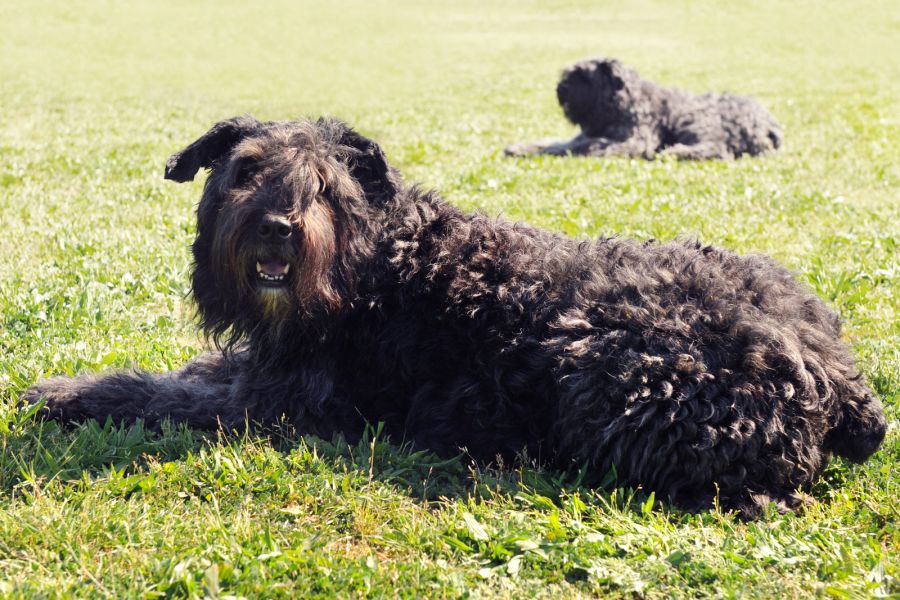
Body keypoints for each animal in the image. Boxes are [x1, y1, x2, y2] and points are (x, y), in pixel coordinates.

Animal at [22, 116, 884, 516]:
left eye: (328, 186)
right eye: (246, 170)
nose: (277, 227)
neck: (379, 265)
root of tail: (841, 381)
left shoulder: (278, 406)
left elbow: (164, 396)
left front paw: (69, 394)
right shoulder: (263, 368)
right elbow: (195, 371)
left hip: (609, 372)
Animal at [502, 58, 784, 161]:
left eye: (584, 76)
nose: (561, 87)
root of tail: (768, 123)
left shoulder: (636, 140)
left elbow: (588, 145)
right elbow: (552, 143)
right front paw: (521, 147)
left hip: (696, 121)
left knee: (717, 149)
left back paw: (675, 152)